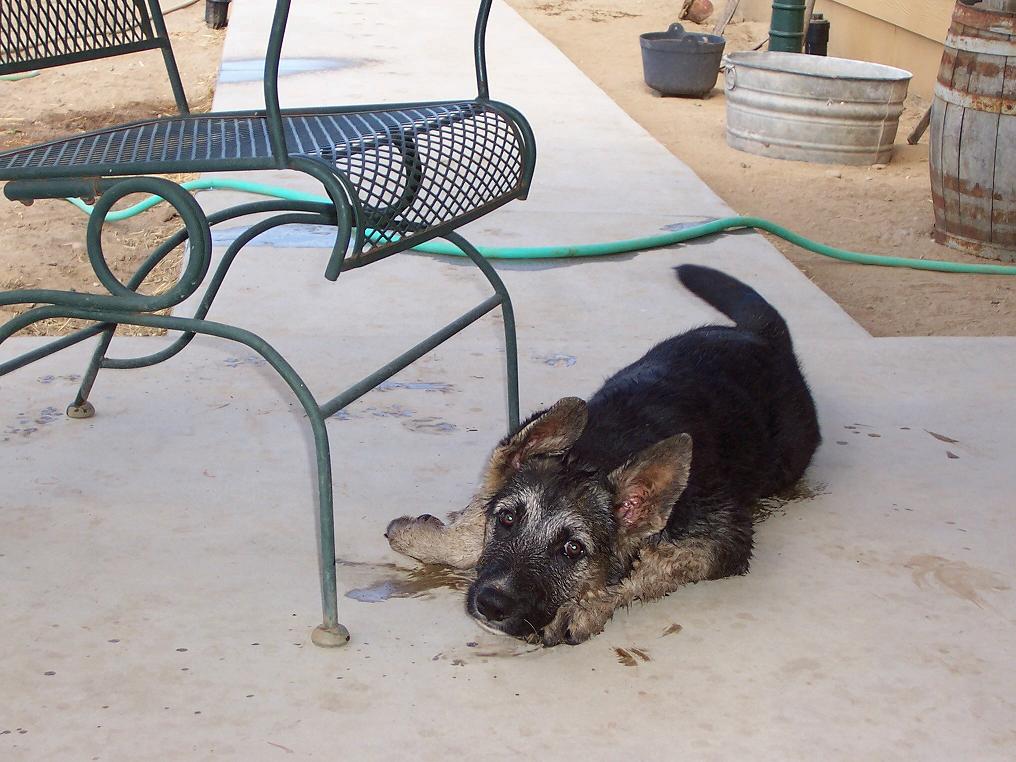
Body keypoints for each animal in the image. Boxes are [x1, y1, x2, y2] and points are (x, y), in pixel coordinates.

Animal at [384, 266, 820, 646]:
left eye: (573, 549)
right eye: (507, 520)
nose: (491, 604)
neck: (598, 455)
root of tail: (762, 337)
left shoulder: (723, 540)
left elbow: (644, 568)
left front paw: (583, 608)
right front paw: (432, 536)